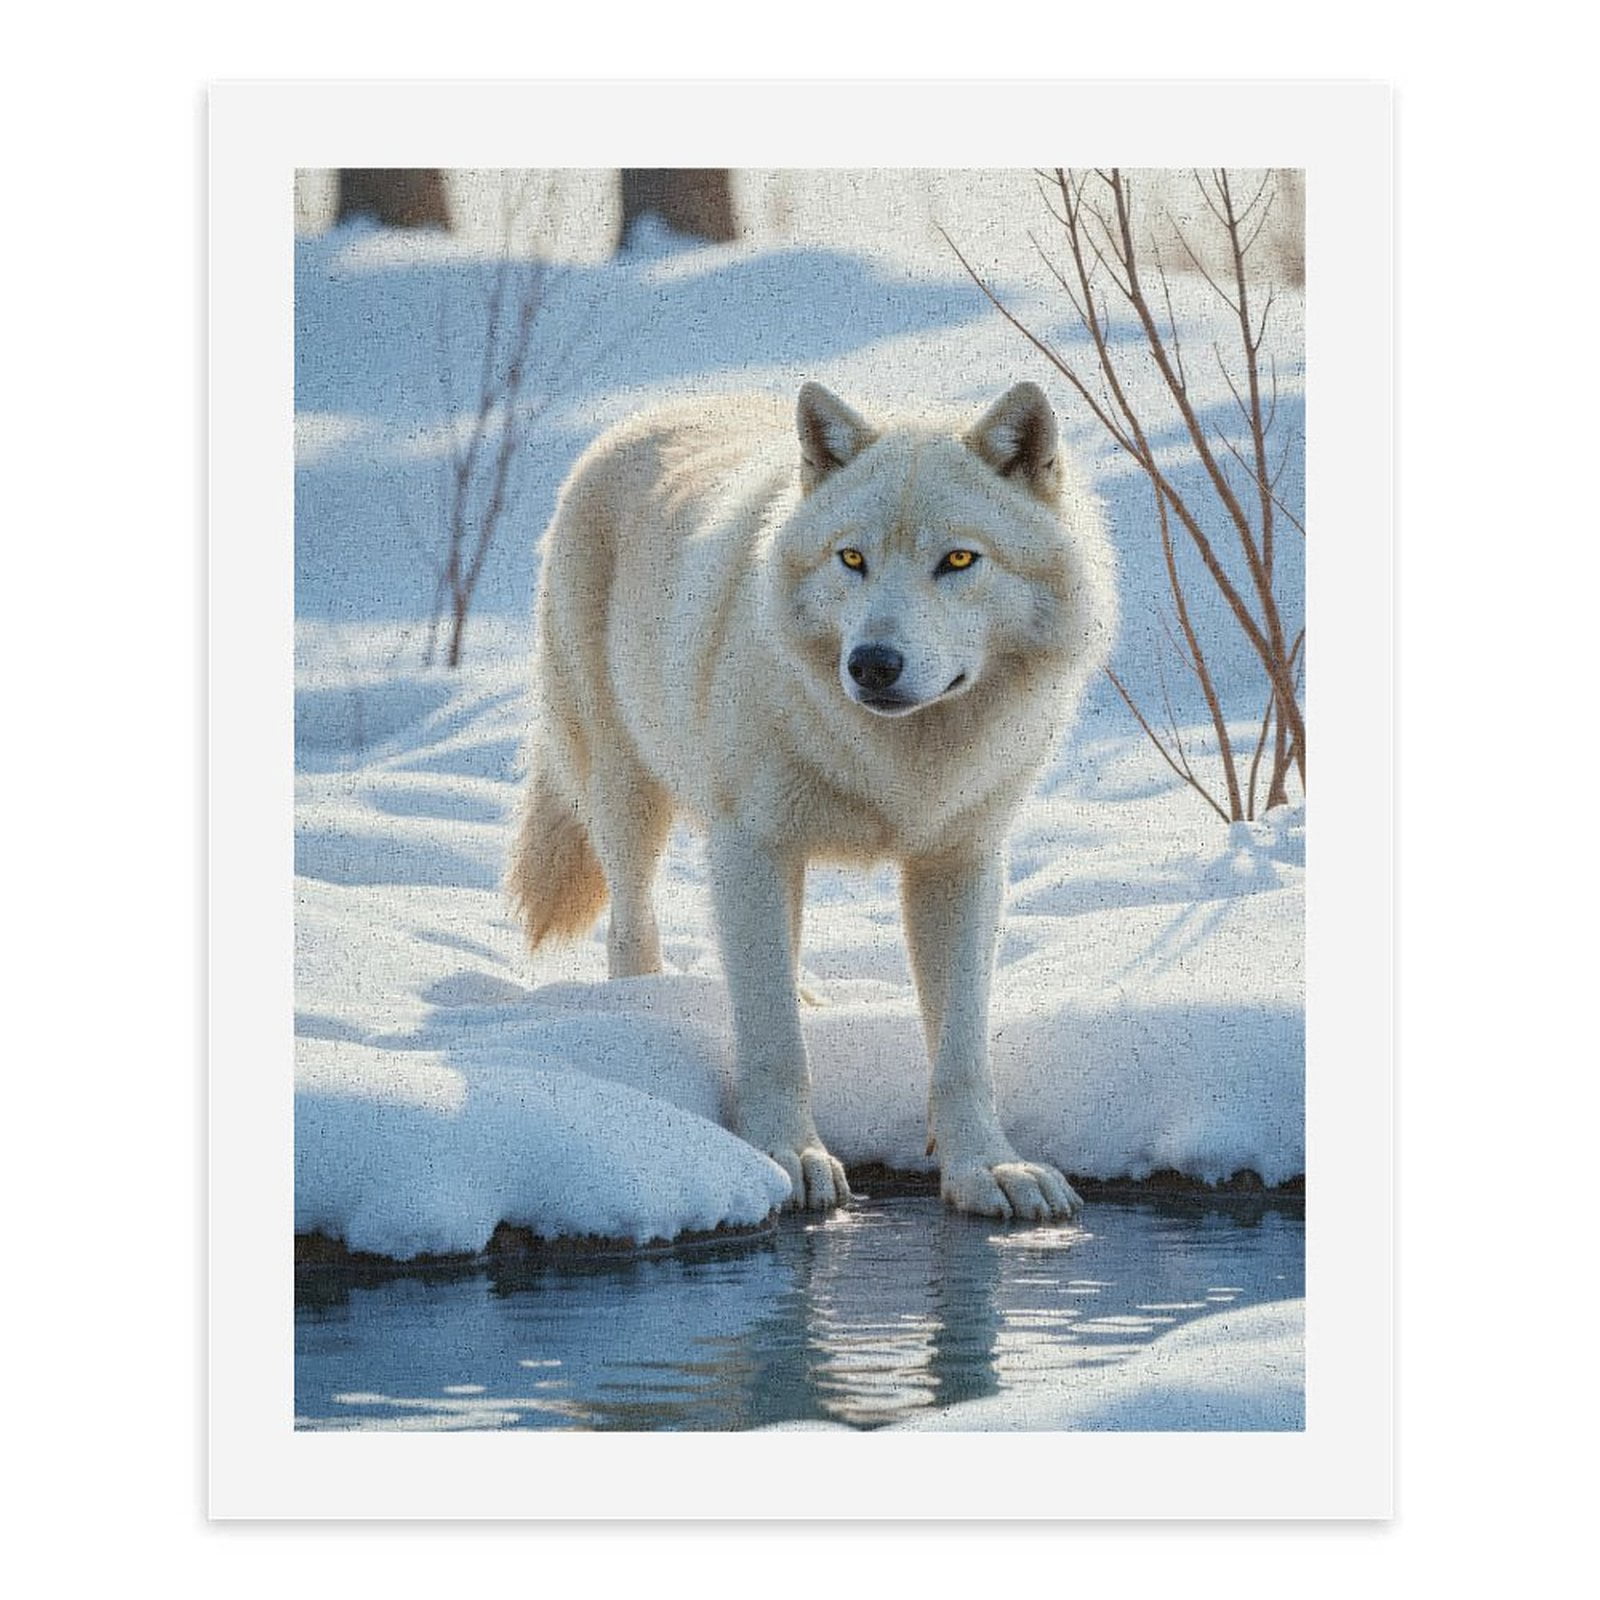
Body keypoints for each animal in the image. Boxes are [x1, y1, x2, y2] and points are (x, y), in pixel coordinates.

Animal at [509, 381, 1117, 1220]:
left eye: (959, 559)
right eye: (851, 558)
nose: (872, 664)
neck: (897, 763)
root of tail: (651, 411)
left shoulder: (961, 862)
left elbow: (961, 1047)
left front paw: (988, 1168)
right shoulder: (749, 847)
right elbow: (773, 1038)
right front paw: (787, 1157)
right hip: (628, 794)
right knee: (633, 925)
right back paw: (641, 1006)